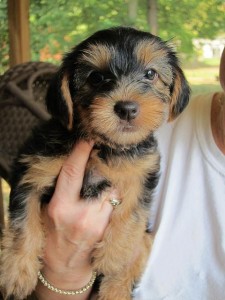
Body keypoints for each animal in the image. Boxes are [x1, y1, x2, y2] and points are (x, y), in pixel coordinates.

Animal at [0, 27, 190, 298]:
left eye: (150, 74)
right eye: (96, 78)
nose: (127, 108)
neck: (105, 145)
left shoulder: (142, 172)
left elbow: (132, 210)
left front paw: (114, 255)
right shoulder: (34, 170)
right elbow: (23, 221)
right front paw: (17, 271)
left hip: (146, 238)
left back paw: (115, 290)